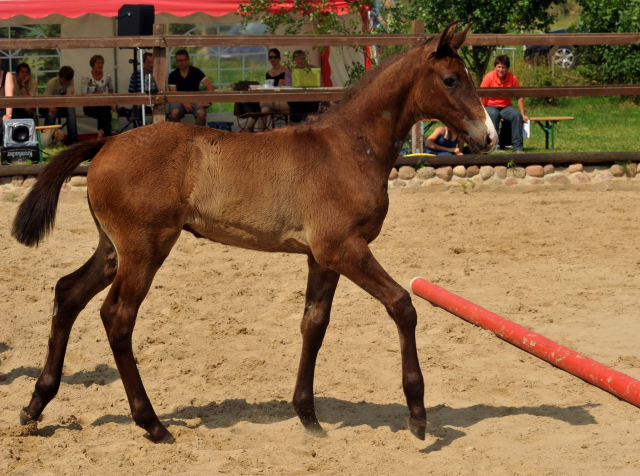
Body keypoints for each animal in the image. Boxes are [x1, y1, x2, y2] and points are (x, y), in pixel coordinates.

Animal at [12, 24, 498, 444]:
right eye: (451, 79)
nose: (489, 137)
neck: (348, 148)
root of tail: (108, 142)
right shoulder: (344, 248)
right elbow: (402, 305)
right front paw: (418, 416)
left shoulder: (321, 257)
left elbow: (313, 324)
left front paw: (308, 416)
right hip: (144, 249)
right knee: (117, 316)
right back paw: (152, 424)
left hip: (113, 249)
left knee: (68, 293)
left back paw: (35, 406)